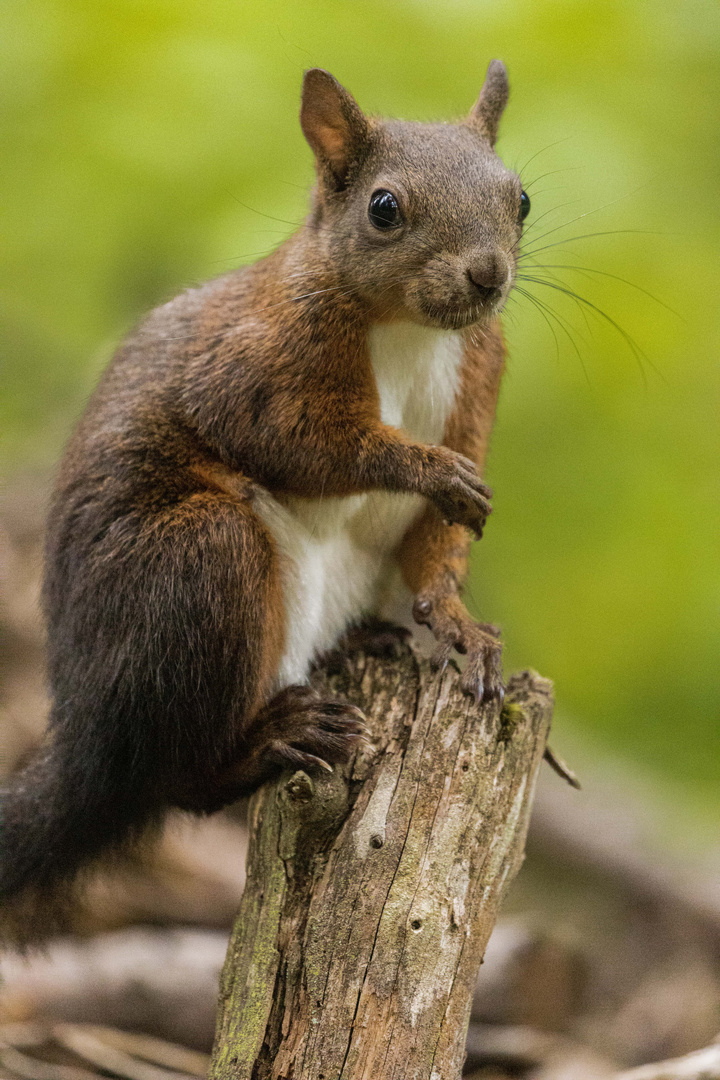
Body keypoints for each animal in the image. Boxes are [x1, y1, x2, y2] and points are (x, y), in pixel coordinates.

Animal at [0, 61, 528, 946]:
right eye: (384, 208)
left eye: (520, 198)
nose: (488, 273)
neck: (410, 330)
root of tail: (87, 743)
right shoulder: (257, 365)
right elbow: (303, 443)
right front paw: (426, 467)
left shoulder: (479, 381)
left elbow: (437, 549)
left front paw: (459, 625)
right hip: (197, 565)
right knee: (177, 780)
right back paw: (273, 739)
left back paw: (369, 643)